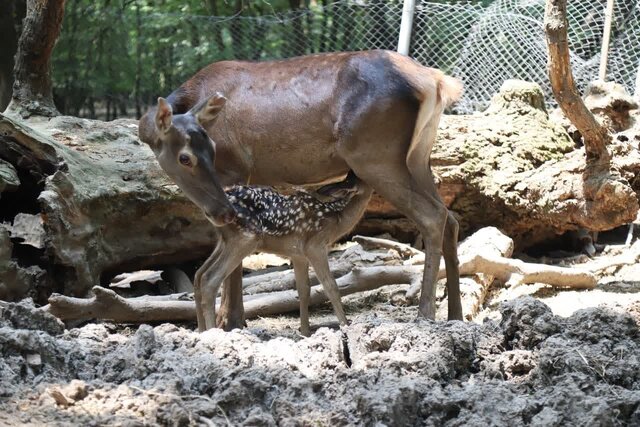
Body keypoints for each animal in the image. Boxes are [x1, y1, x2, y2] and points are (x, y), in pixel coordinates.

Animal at [196, 172, 370, 336]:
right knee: (210, 278)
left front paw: (305, 332)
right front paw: (345, 324)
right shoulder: (315, 246)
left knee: (199, 274)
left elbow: (304, 290)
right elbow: (331, 286)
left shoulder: (298, 254)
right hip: (245, 238)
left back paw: (201, 330)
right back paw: (211, 331)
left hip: (224, 240)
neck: (337, 221)